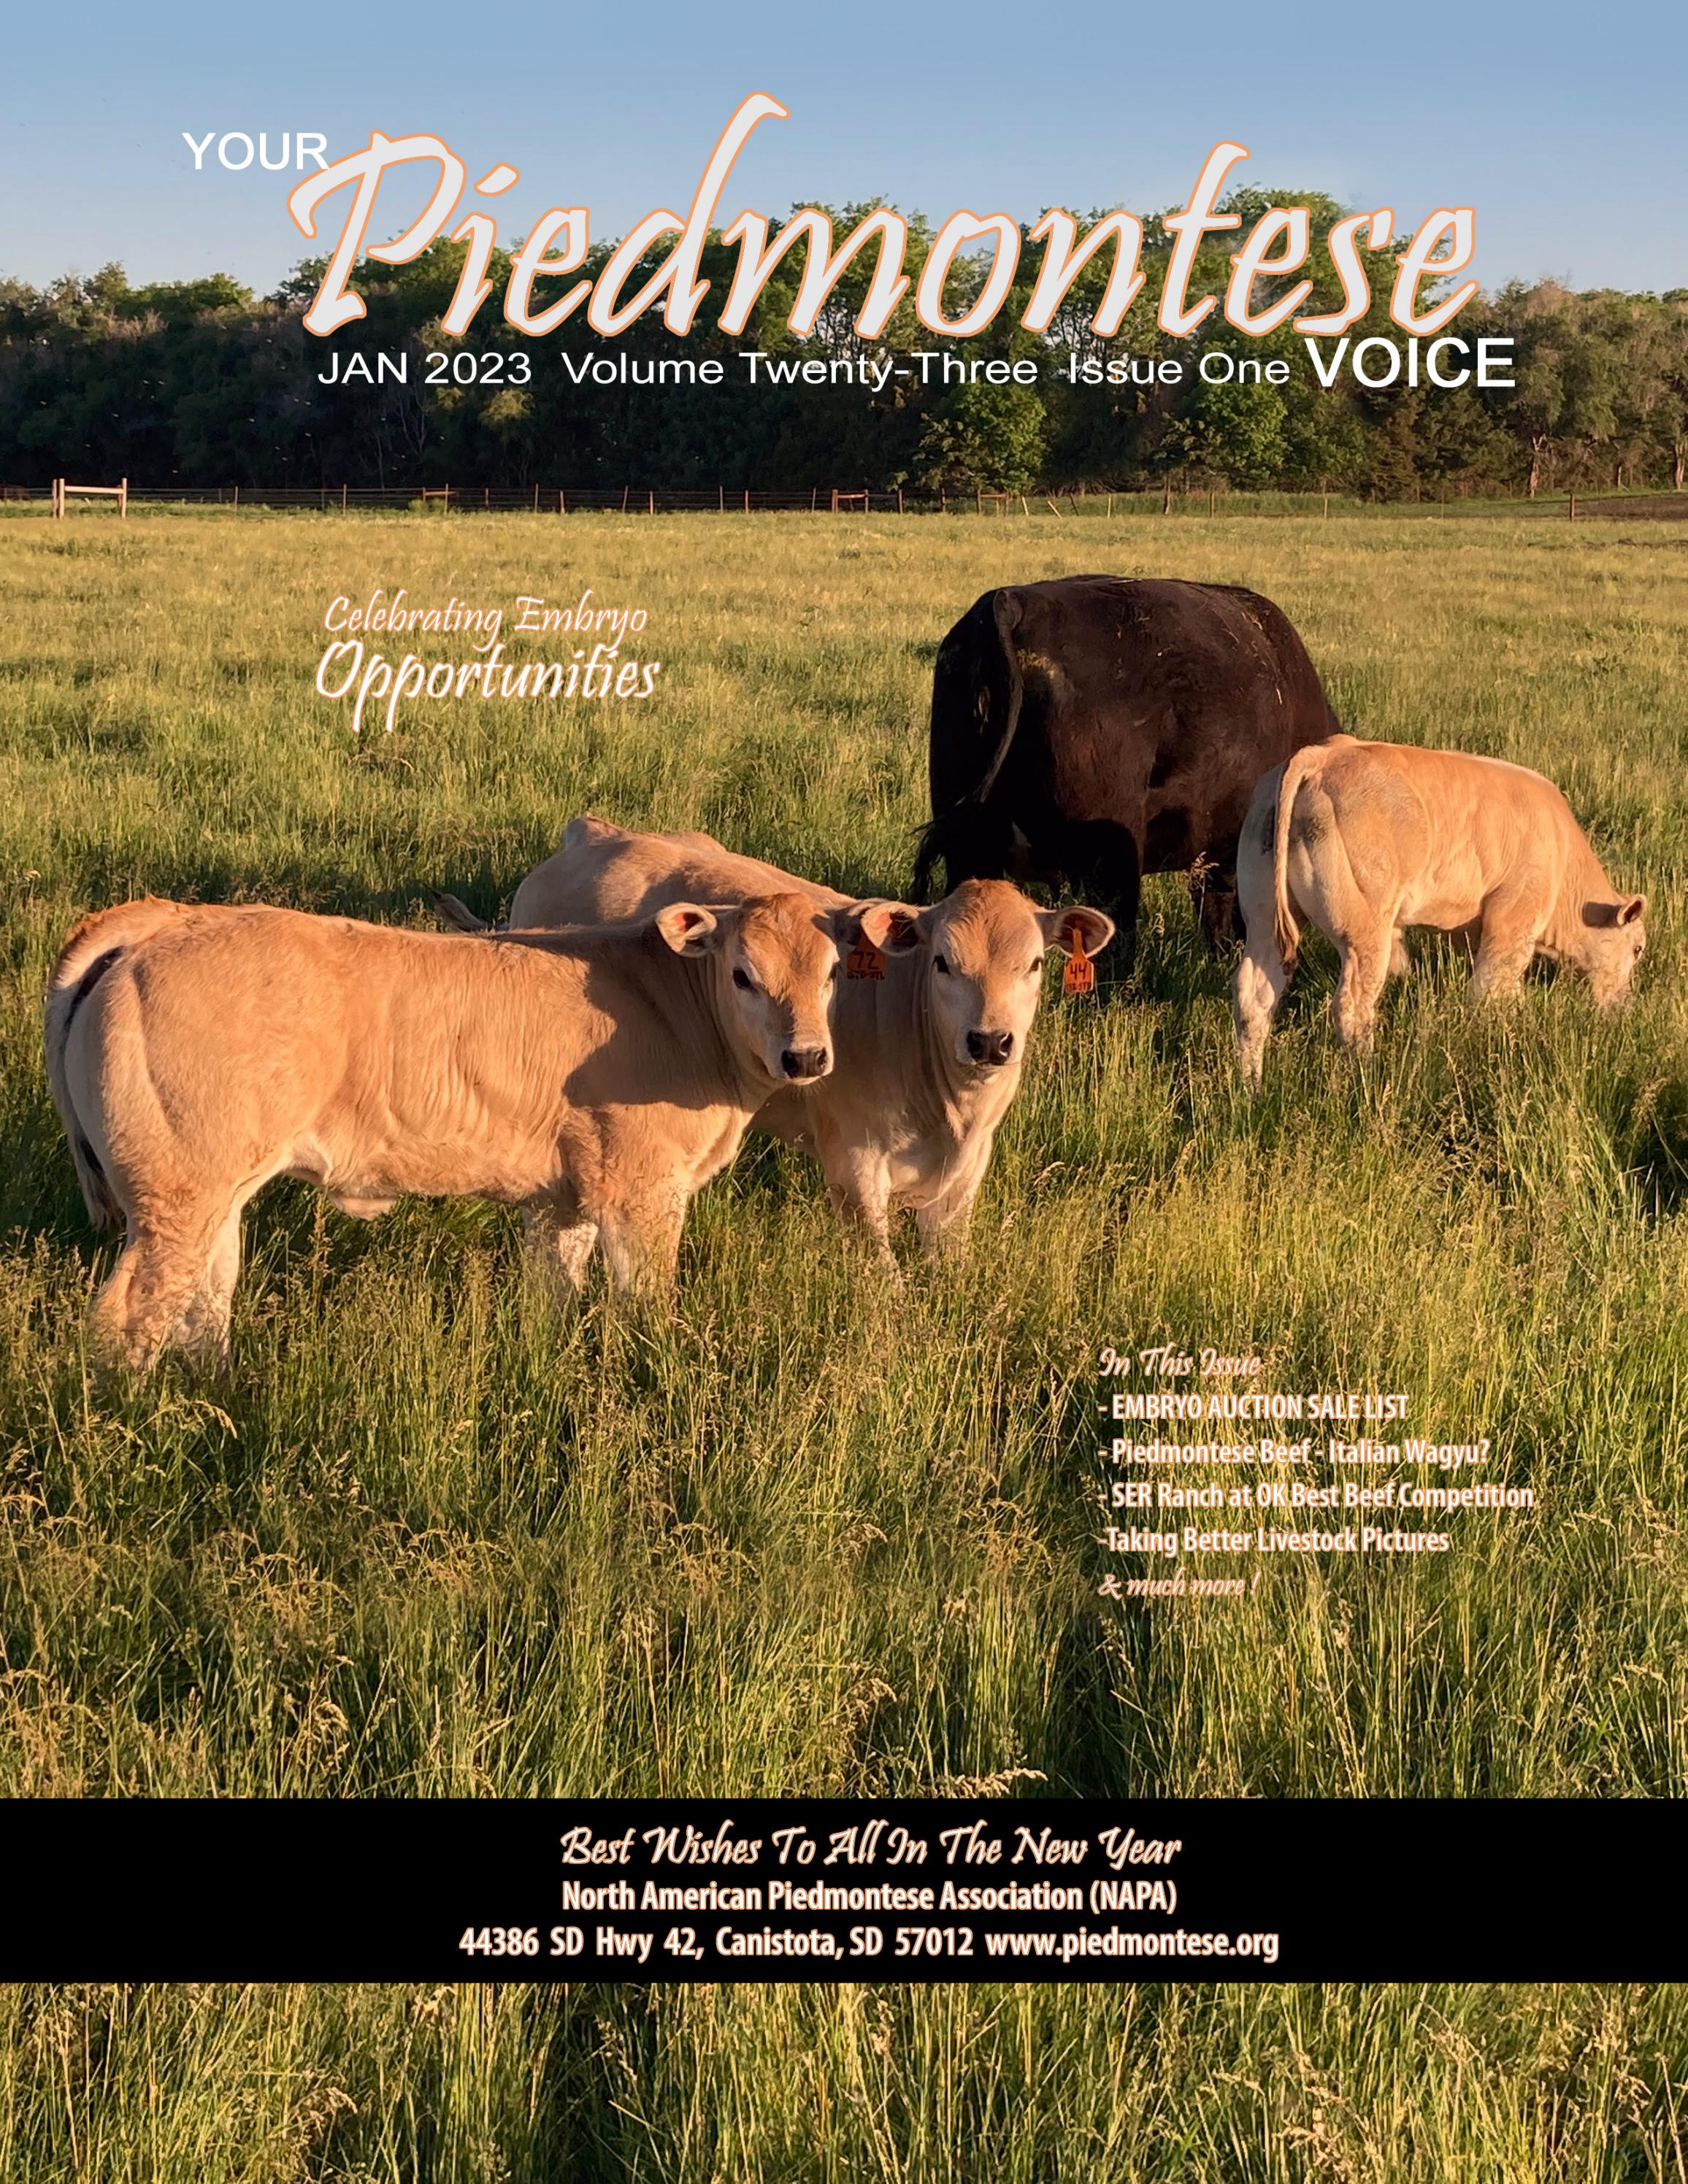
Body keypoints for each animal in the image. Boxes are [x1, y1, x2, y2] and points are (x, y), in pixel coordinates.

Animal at [44, 887, 873, 1372]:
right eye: (742, 974)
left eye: (833, 972)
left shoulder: (565, 1194)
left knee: (205, 1300)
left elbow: (554, 1294)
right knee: (129, 1320)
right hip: (176, 1197)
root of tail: (171, 919)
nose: (806, 1055)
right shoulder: (641, 1192)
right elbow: (648, 1310)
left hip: (213, 1192)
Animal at [436, 816, 1114, 1253]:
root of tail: (596, 833)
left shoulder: (963, 1180)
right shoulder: (854, 1169)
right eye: (944, 962)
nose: (990, 1042)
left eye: (1035, 964)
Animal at [1231, 736, 1648, 1089]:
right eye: (1638, 948)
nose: (1625, 1008)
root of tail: (1322, 755)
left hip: (1262, 919)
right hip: (1363, 933)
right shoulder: (1512, 926)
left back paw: (1251, 1089)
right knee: (1352, 1008)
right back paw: (1367, 1079)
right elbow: (1489, 994)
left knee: (1254, 1000)